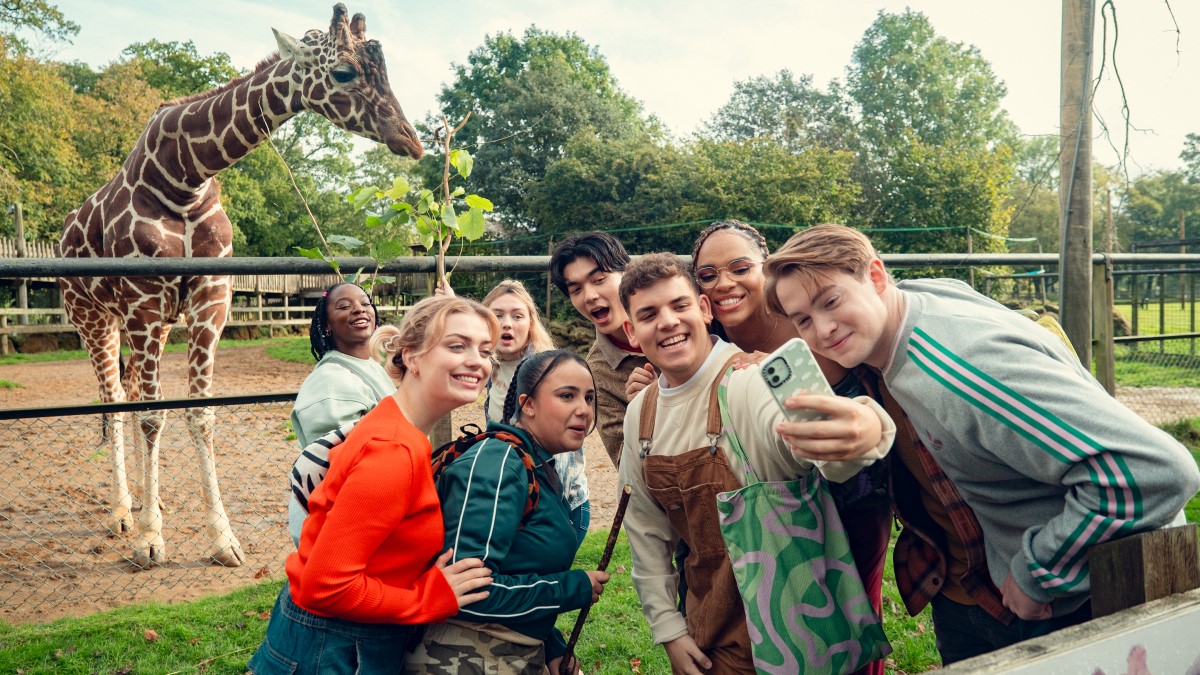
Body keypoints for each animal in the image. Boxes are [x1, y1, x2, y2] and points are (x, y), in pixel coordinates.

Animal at [62, 3, 427, 566]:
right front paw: (150, 541)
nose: (411, 139)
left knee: (132, 394)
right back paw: (125, 514)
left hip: (151, 326)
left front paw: (221, 539)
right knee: (115, 401)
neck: (182, 177)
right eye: (344, 73)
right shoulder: (145, 303)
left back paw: (151, 502)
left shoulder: (210, 301)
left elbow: (200, 415)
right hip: (94, 321)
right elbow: (152, 418)